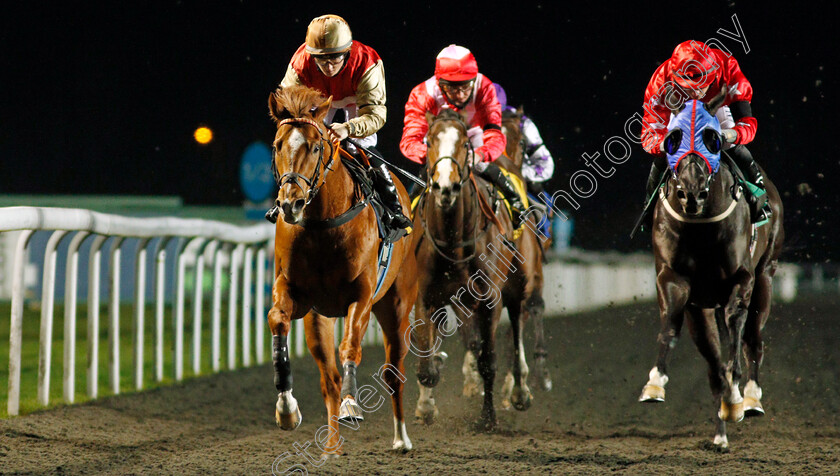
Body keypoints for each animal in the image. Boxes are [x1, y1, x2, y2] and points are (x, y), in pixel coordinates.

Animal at [266, 85, 416, 454]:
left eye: (316, 146)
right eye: (278, 145)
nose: (291, 204)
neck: (322, 224)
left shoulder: (360, 295)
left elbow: (351, 347)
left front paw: (352, 403)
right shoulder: (296, 294)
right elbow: (277, 320)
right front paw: (286, 409)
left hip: (396, 304)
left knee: (393, 370)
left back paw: (401, 438)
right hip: (319, 320)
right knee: (328, 379)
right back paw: (332, 445)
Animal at [410, 109, 540, 430]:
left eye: (465, 144)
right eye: (428, 141)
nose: (445, 187)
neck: (452, 241)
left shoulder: (490, 299)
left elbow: (488, 360)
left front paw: (488, 417)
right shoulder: (425, 296)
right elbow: (426, 361)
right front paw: (426, 404)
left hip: (519, 285)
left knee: (516, 327)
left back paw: (520, 391)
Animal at [640, 86, 784, 450]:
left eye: (713, 139)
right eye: (672, 139)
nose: (691, 193)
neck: (700, 225)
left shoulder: (741, 279)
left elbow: (735, 332)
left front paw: (738, 396)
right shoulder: (675, 281)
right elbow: (670, 328)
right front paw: (655, 384)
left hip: (766, 276)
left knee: (753, 339)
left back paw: (750, 398)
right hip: (701, 310)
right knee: (712, 366)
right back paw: (721, 430)